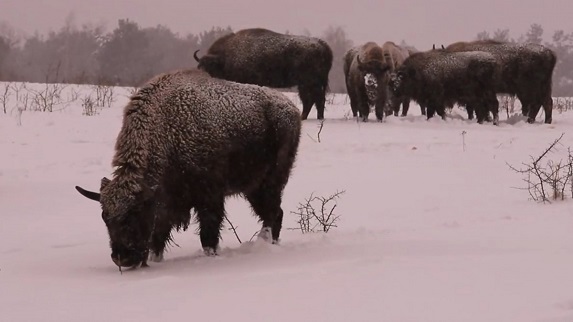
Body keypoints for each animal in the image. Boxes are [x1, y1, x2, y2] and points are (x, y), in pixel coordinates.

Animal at [75, 68, 304, 270]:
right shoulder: (167, 206)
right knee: (274, 213)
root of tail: (291, 109)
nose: (122, 259)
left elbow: (208, 235)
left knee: (273, 213)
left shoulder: (210, 198)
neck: (166, 132)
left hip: (269, 183)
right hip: (253, 188)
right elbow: (159, 238)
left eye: (136, 212)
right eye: (105, 217)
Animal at [194, 27, 332, 121]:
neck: (225, 58)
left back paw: (310, 117)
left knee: (314, 99)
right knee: (314, 99)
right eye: (199, 65)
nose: (201, 75)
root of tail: (323, 45)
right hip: (308, 84)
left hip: (308, 83)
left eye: (210, 66)